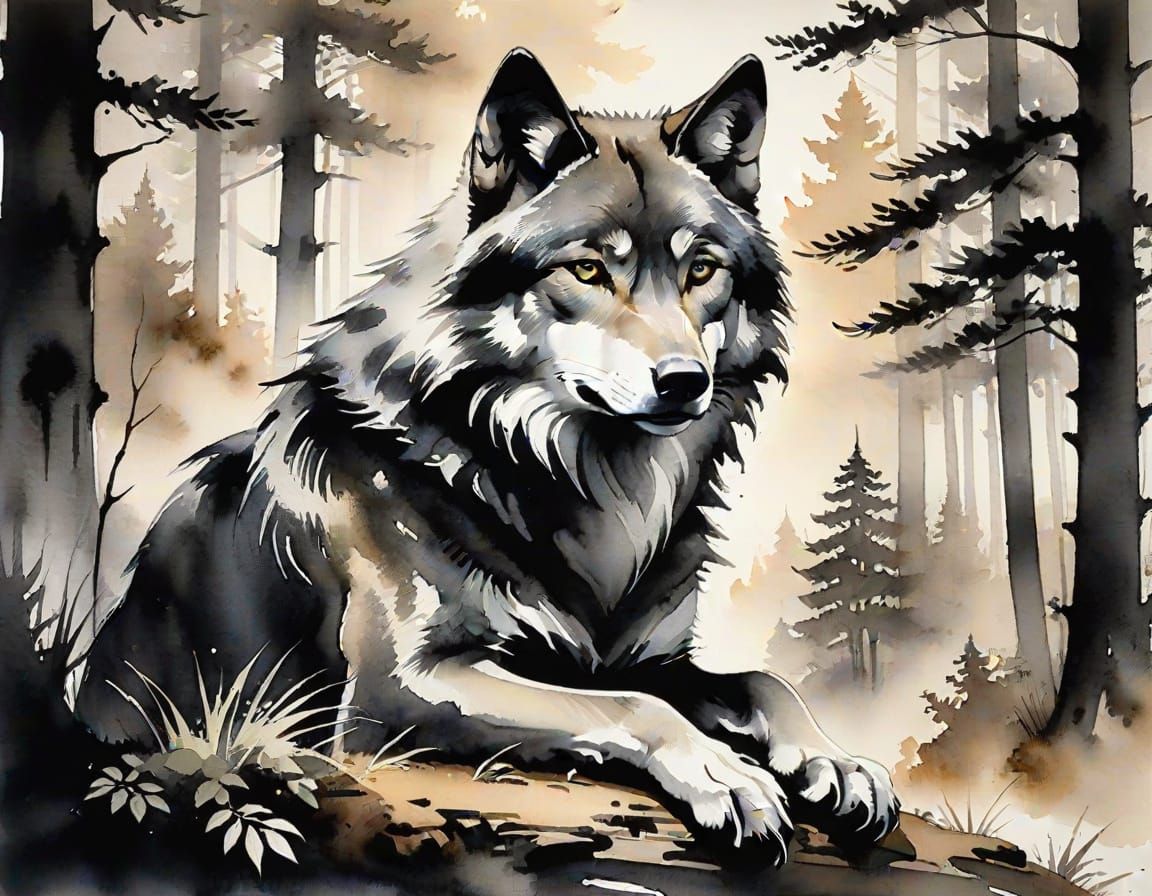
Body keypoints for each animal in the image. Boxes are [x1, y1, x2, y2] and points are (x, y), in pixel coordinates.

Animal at [78, 49, 899, 865]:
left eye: (701, 270)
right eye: (589, 271)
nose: (683, 381)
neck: (589, 487)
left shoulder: (651, 661)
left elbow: (762, 683)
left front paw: (838, 760)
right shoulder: (401, 690)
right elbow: (634, 707)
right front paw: (726, 775)